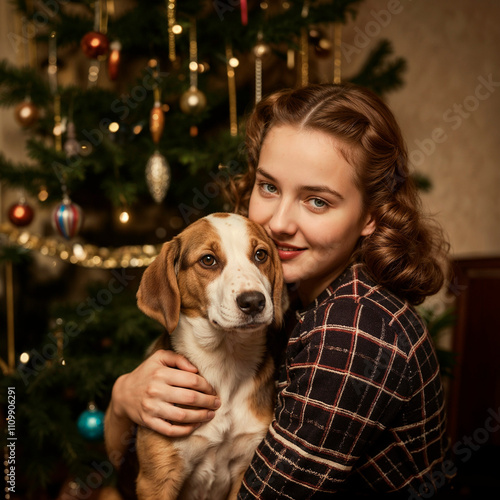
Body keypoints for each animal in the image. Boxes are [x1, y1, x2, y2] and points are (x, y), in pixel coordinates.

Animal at [135, 213, 288, 498]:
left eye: (260, 255)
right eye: (208, 260)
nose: (253, 302)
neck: (225, 360)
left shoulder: (246, 467)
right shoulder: (157, 479)